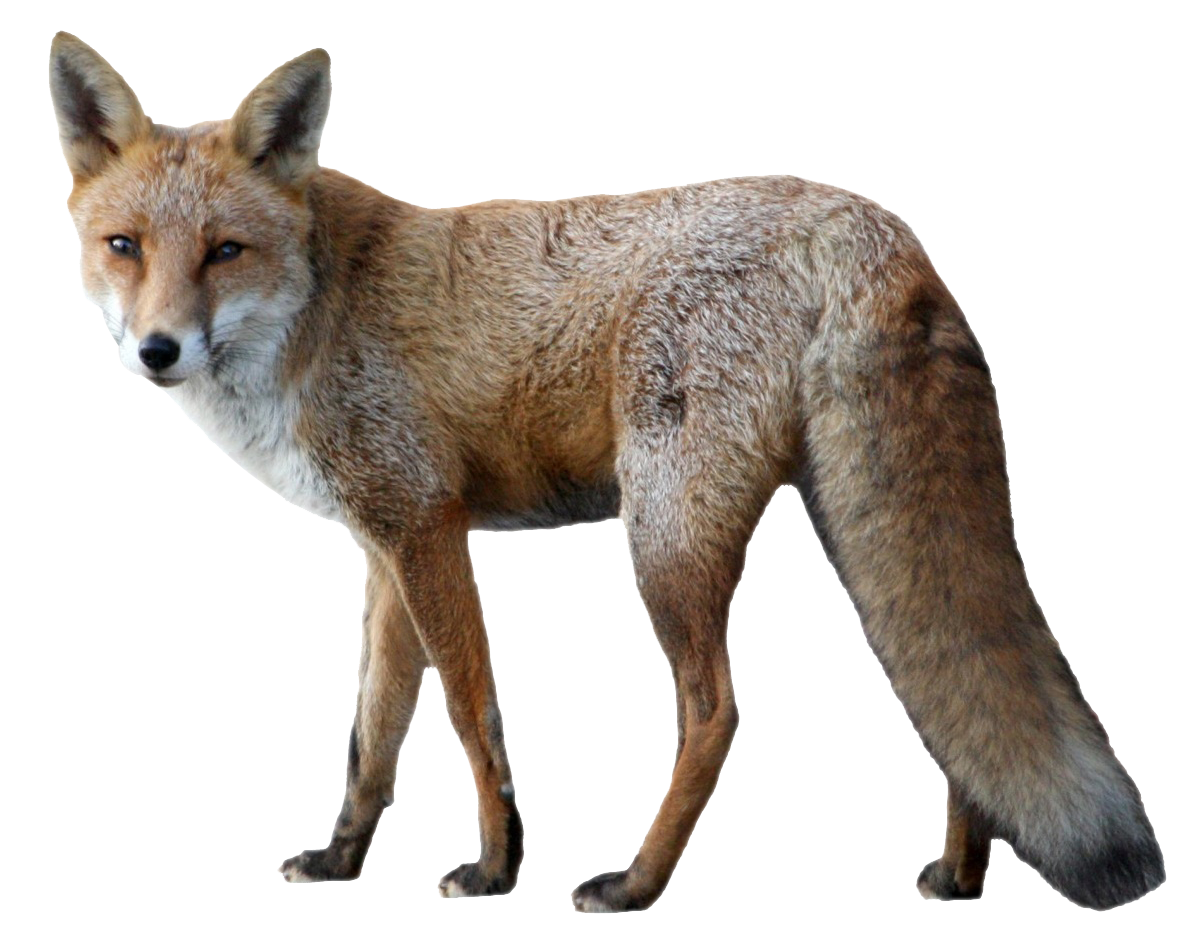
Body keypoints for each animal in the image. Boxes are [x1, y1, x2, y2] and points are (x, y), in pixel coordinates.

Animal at [48, 29, 1166, 913]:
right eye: (124, 246)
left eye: (225, 251)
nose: (156, 351)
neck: (316, 312)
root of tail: (874, 220)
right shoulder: (383, 547)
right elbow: (372, 734)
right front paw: (339, 859)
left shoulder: (426, 527)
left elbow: (470, 717)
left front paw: (495, 870)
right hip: (850, 529)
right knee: (938, 699)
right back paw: (960, 876)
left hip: (664, 539)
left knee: (719, 712)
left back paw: (635, 884)